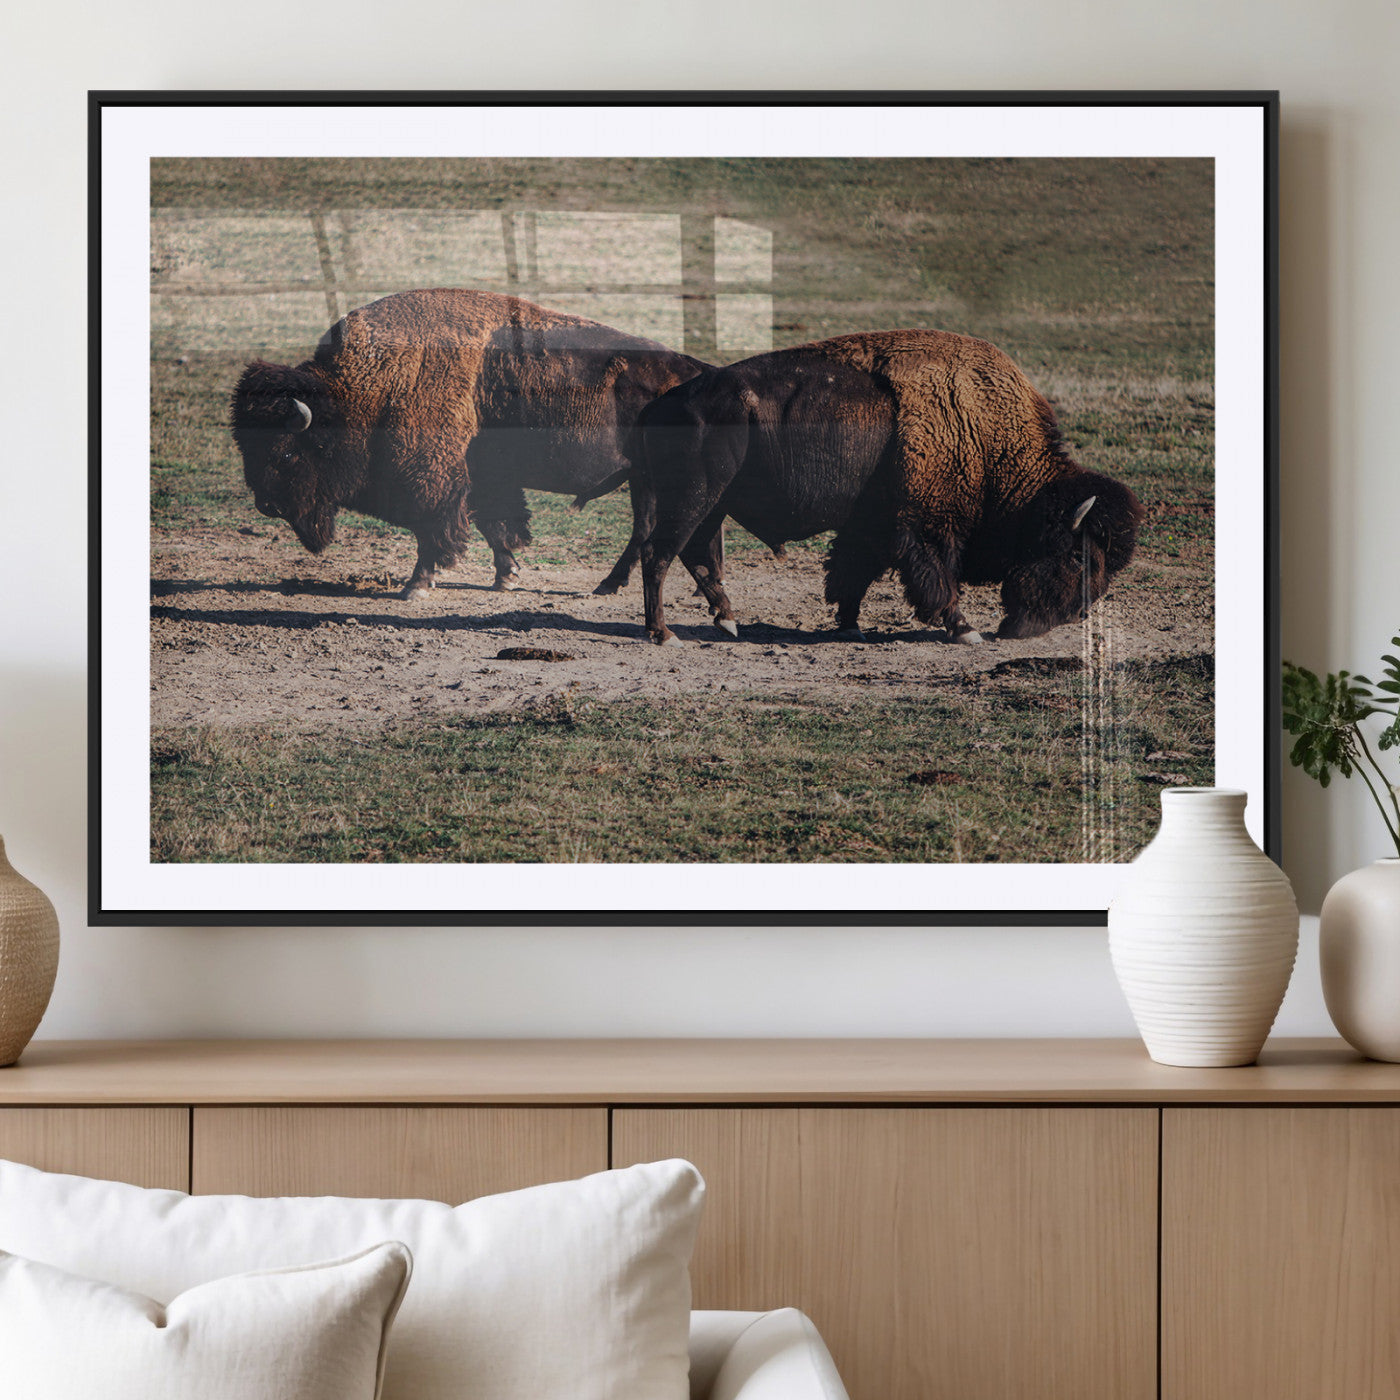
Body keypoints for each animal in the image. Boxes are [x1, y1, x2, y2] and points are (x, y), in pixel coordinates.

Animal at [231, 288, 715, 598]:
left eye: (287, 451)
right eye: (245, 448)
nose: (267, 505)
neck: (367, 388)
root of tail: (698, 371)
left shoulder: (433, 480)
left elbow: (434, 530)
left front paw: (415, 587)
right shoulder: (482, 477)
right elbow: (494, 524)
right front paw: (507, 577)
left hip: (651, 479)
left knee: (650, 529)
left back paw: (613, 586)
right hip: (644, 479)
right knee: (651, 528)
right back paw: (622, 585)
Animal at [634, 329, 1145, 646]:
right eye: (1077, 555)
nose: (1073, 614)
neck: (983, 433)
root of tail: (663, 404)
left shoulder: (873, 526)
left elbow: (851, 573)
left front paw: (849, 626)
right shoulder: (925, 526)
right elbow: (937, 578)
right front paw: (965, 630)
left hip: (713, 504)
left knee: (695, 555)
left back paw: (727, 621)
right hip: (694, 498)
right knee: (659, 554)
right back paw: (664, 634)